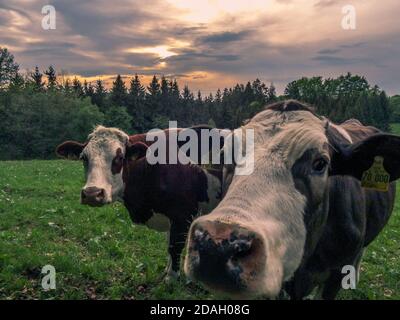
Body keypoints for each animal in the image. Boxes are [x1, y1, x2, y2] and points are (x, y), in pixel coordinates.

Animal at [55, 125, 222, 280]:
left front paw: (171, 278)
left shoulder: (182, 215)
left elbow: (175, 247)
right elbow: (169, 245)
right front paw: (167, 272)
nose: (92, 193)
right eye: (84, 158)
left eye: (119, 158)